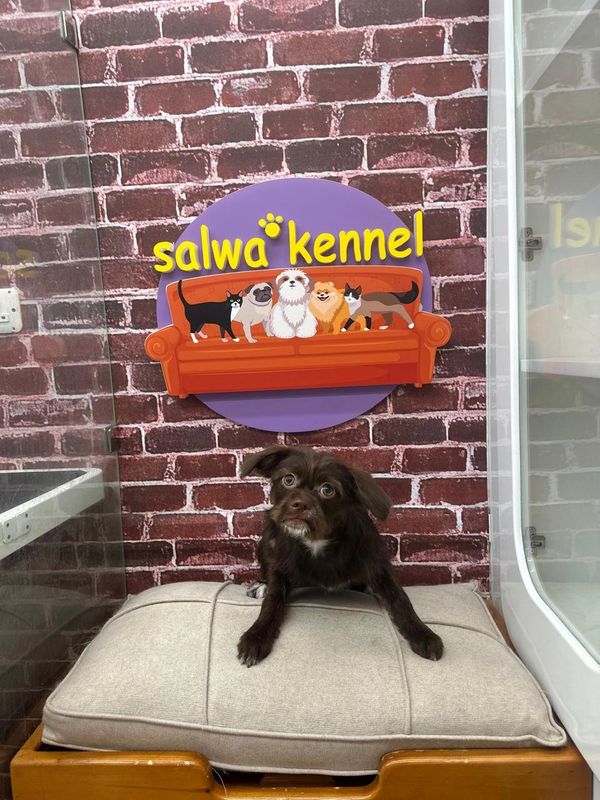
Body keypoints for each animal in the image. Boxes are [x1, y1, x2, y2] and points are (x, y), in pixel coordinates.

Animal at [237, 446, 444, 667]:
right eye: (288, 479)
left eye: (328, 490)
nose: (299, 504)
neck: (317, 541)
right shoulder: (280, 565)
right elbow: (272, 601)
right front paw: (256, 635)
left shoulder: (378, 567)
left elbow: (401, 600)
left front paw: (423, 633)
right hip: (267, 540)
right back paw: (261, 584)